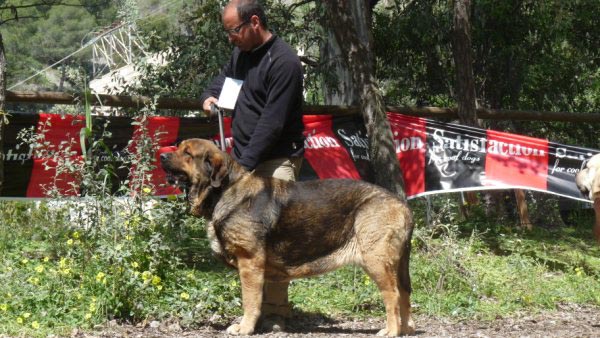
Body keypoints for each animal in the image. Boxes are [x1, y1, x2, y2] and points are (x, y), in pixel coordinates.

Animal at [159, 139, 418, 334]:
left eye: (187, 153)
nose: (162, 157)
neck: (224, 191)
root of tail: (402, 205)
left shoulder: (249, 262)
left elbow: (250, 300)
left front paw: (244, 328)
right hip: (396, 265)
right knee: (404, 294)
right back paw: (405, 330)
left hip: (376, 261)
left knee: (393, 296)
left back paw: (391, 331)